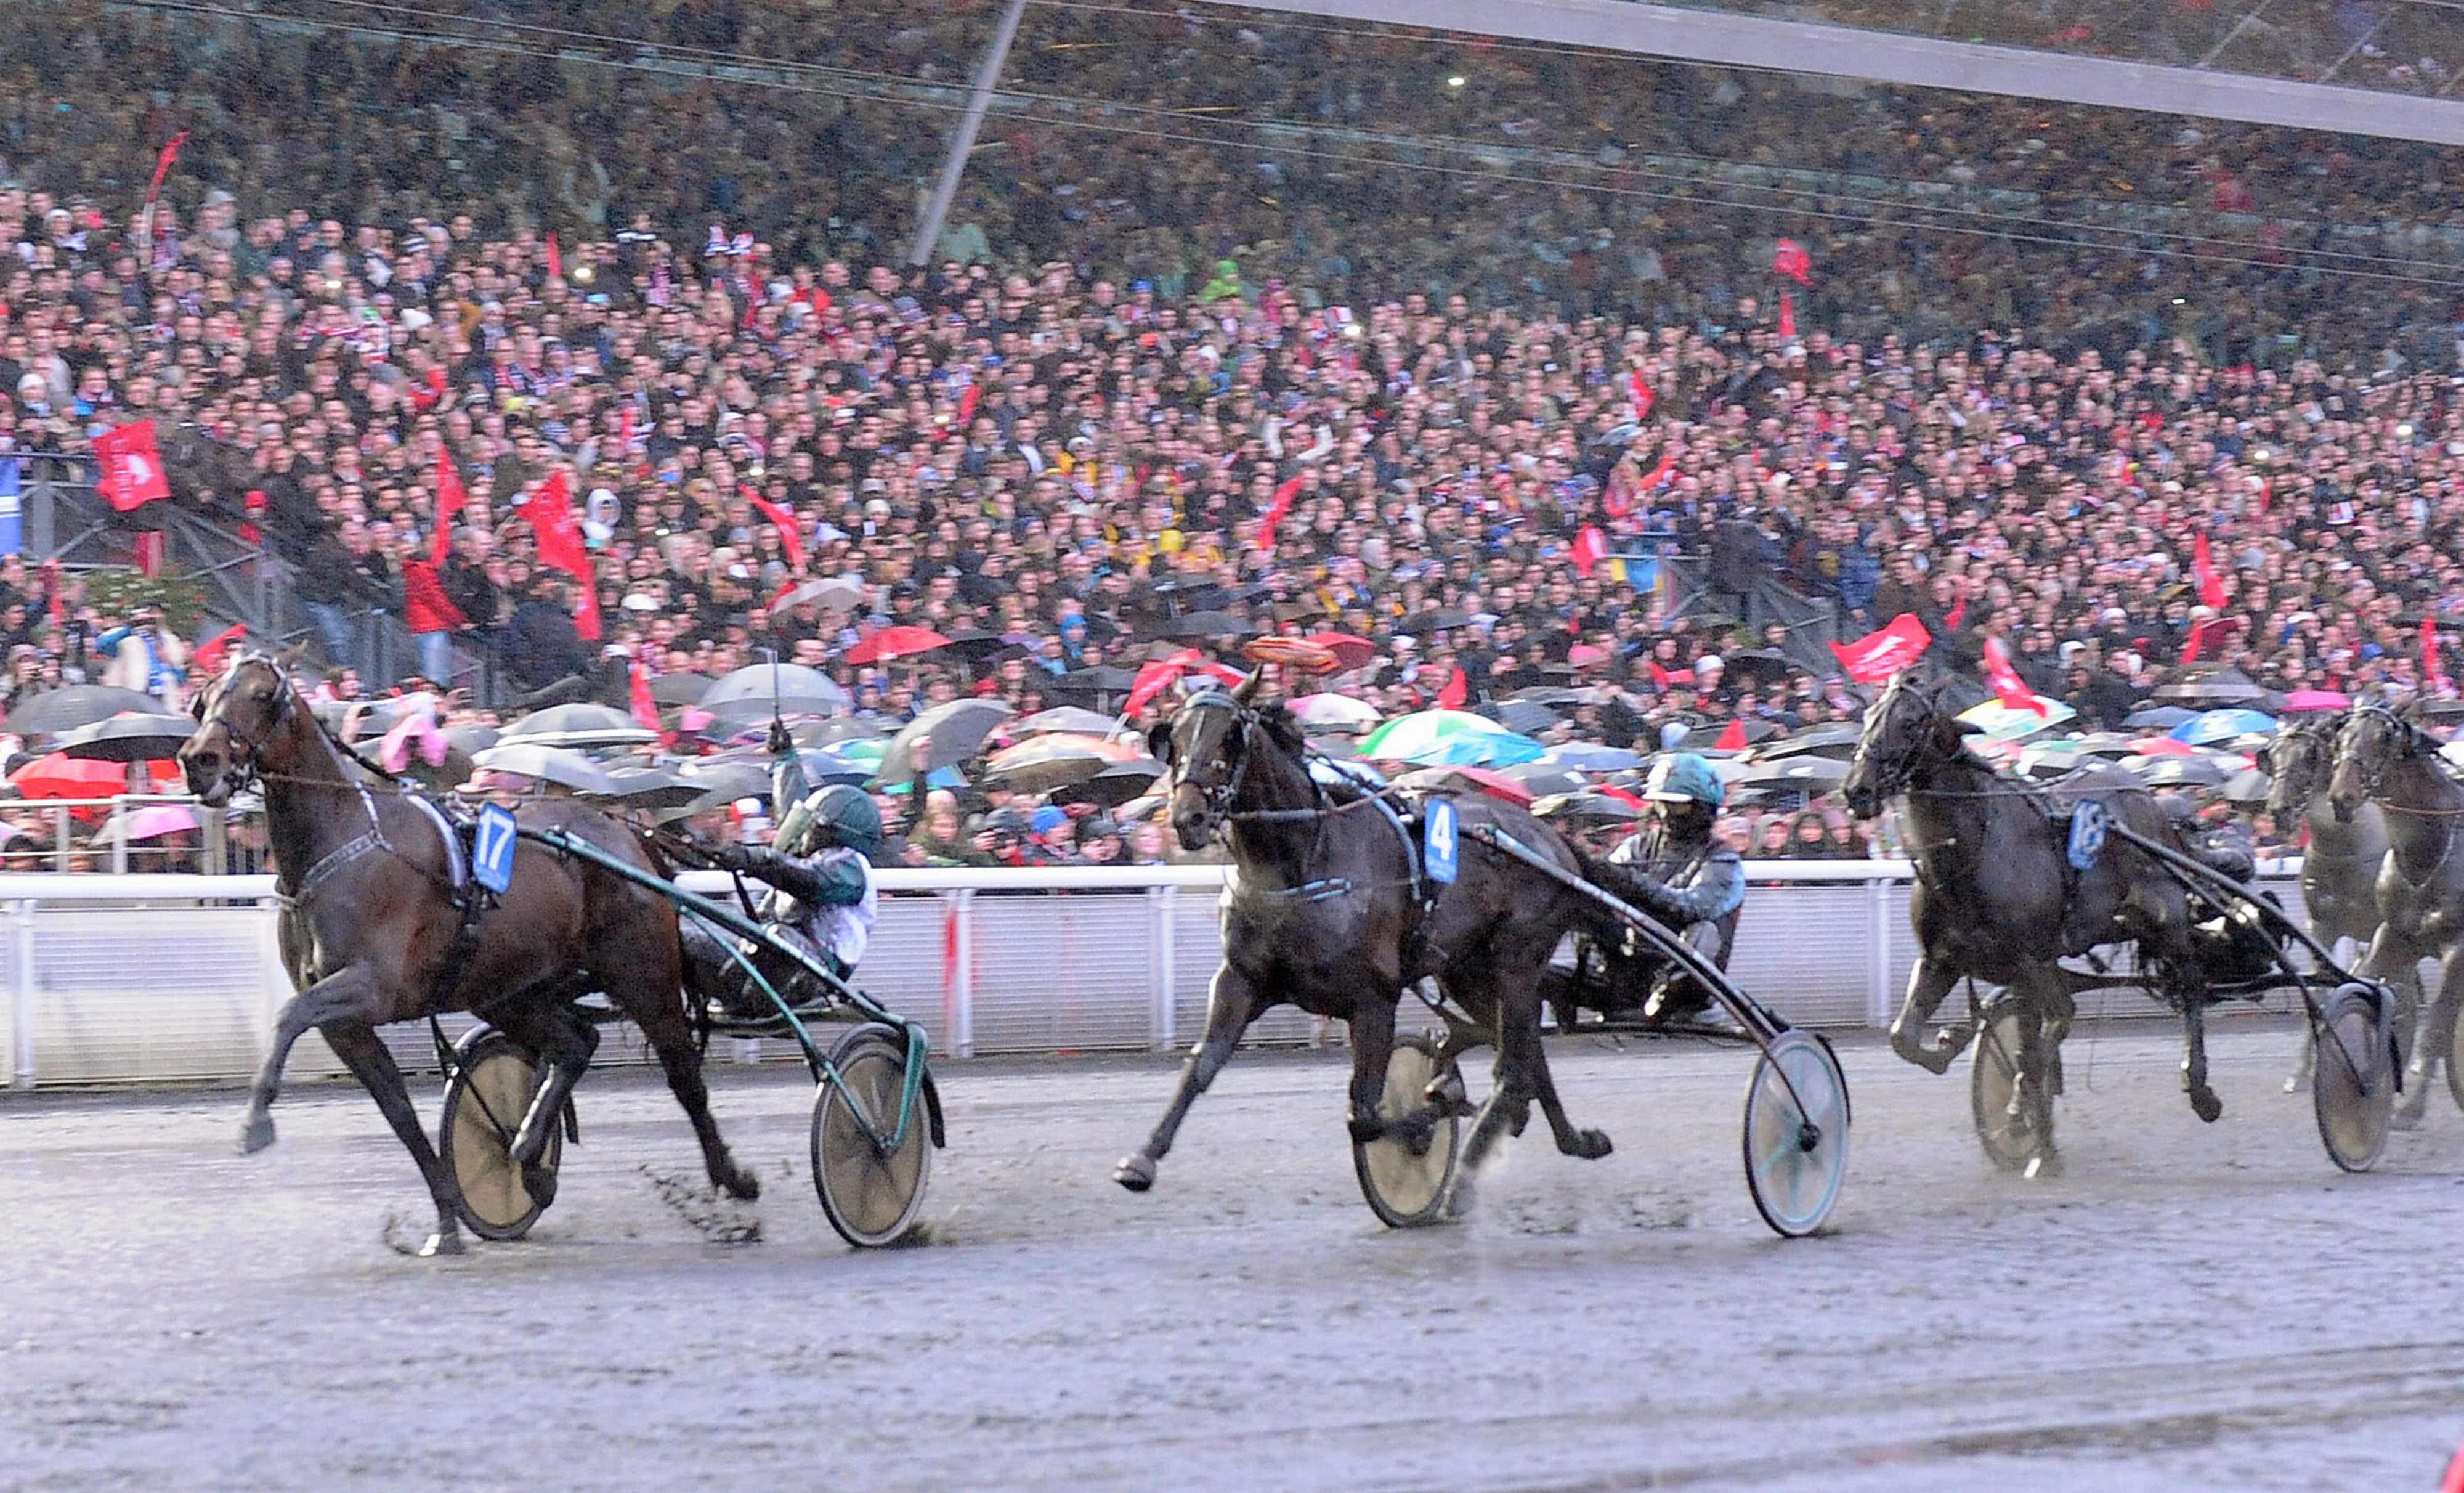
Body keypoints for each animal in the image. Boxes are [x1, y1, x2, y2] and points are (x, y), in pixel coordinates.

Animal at [180, 660, 759, 1256]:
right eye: (203, 699)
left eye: (261, 695)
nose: (199, 760)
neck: (344, 840)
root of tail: (627, 833)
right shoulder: (349, 1026)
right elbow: (400, 1116)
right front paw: (447, 1223)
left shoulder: (370, 986)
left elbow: (288, 1016)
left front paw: (254, 1122)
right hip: (508, 989)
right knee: (575, 1043)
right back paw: (529, 1157)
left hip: (643, 976)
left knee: (684, 1077)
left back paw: (732, 1185)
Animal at [1119, 680, 1616, 1217]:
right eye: (1173, 735)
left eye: (1231, 735)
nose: (1187, 817)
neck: (1302, 861)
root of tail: (1554, 840)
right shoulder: (1241, 978)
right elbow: (1202, 1064)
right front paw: (1141, 1159)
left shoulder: (1373, 998)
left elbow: (1365, 1114)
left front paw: (1432, 1113)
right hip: (1466, 970)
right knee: (1523, 1054)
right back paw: (1570, 1138)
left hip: (1517, 960)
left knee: (1516, 1060)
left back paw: (1471, 1167)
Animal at [1853, 675, 2218, 1178]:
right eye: (1867, 716)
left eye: (1909, 722)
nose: (1856, 790)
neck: (1971, 854)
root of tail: (2148, 797)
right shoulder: (1943, 960)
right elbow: (1904, 1039)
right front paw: (1955, 1043)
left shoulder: (2032, 960)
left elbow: (2052, 1029)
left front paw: (2019, 1111)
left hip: (2167, 922)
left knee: (2190, 984)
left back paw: (2200, 1087)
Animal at [2267, 719, 2385, 1094]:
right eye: (2273, 754)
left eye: (2309, 755)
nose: (2279, 809)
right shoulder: (2322, 927)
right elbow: (2320, 989)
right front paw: (2302, 1070)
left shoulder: (2381, 927)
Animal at [2326, 699, 2464, 1123]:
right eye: (2342, 736)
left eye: (2383, 738)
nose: (2342, 796)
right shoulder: (2397, 937)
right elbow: (2367, 983)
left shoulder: (2459, 950)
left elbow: (2437, 1028)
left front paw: (2411, 1105)